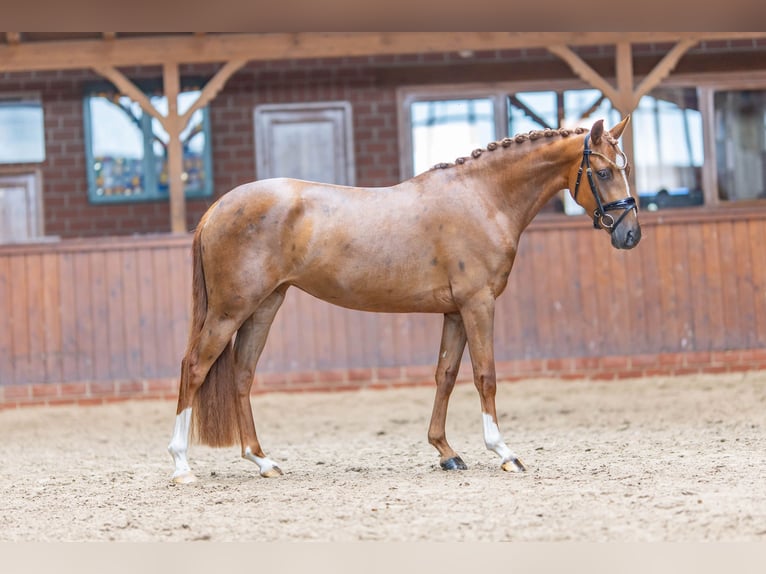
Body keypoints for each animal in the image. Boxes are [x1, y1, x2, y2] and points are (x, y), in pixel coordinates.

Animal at [168, 115, 640, 484]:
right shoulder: (478, 304)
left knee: (242, 375)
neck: (482, 198)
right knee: (193, 368)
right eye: (602, 173)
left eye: (625, 167)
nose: (630, 234)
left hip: (264, 306)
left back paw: (262, 460)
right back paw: (182, 465)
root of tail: (216, 208)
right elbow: (485, 376)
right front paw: (504, 453)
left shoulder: (454, 311)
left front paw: (446, 452)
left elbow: (445, 375)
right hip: (230, 310)